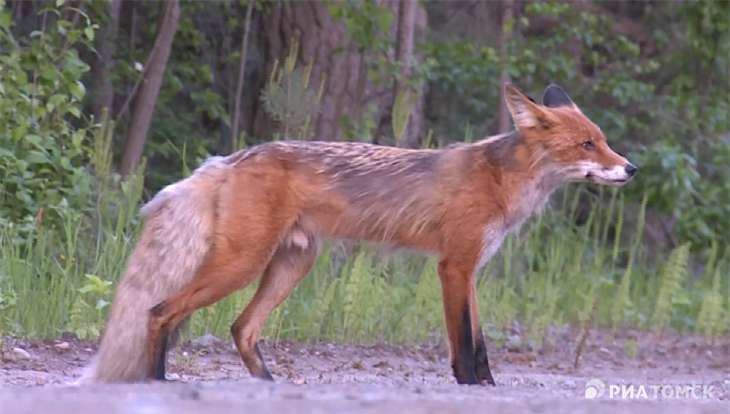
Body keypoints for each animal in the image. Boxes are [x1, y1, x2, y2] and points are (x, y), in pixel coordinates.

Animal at [79, 82, 636, 386]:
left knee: (241, 329)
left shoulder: (471, 269)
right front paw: (472, 387)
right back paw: (158, 383)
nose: (631, 169)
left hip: (290, 265)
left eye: (604, 140)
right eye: (588, 145)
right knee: (160, 312)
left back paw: (271, 387)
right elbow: (462, 342)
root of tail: (231, 157)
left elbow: (480, 341)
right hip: (241, 264)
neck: (502, 183)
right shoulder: (453, 265)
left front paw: (490, 386)